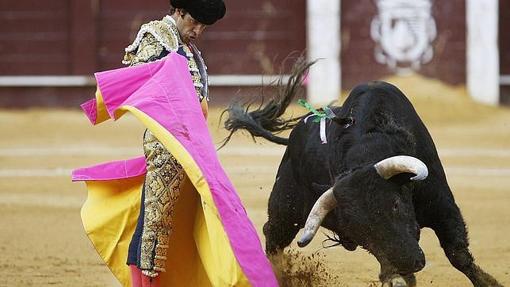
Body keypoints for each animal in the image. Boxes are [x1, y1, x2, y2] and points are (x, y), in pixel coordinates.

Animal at [222, 64, 502, 286]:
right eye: (359, 228)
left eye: (396, 204)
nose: (408, 262)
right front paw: (396, 277)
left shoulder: (441, 203)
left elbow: (458, 255)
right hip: (285, 208)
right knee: (273, 236)